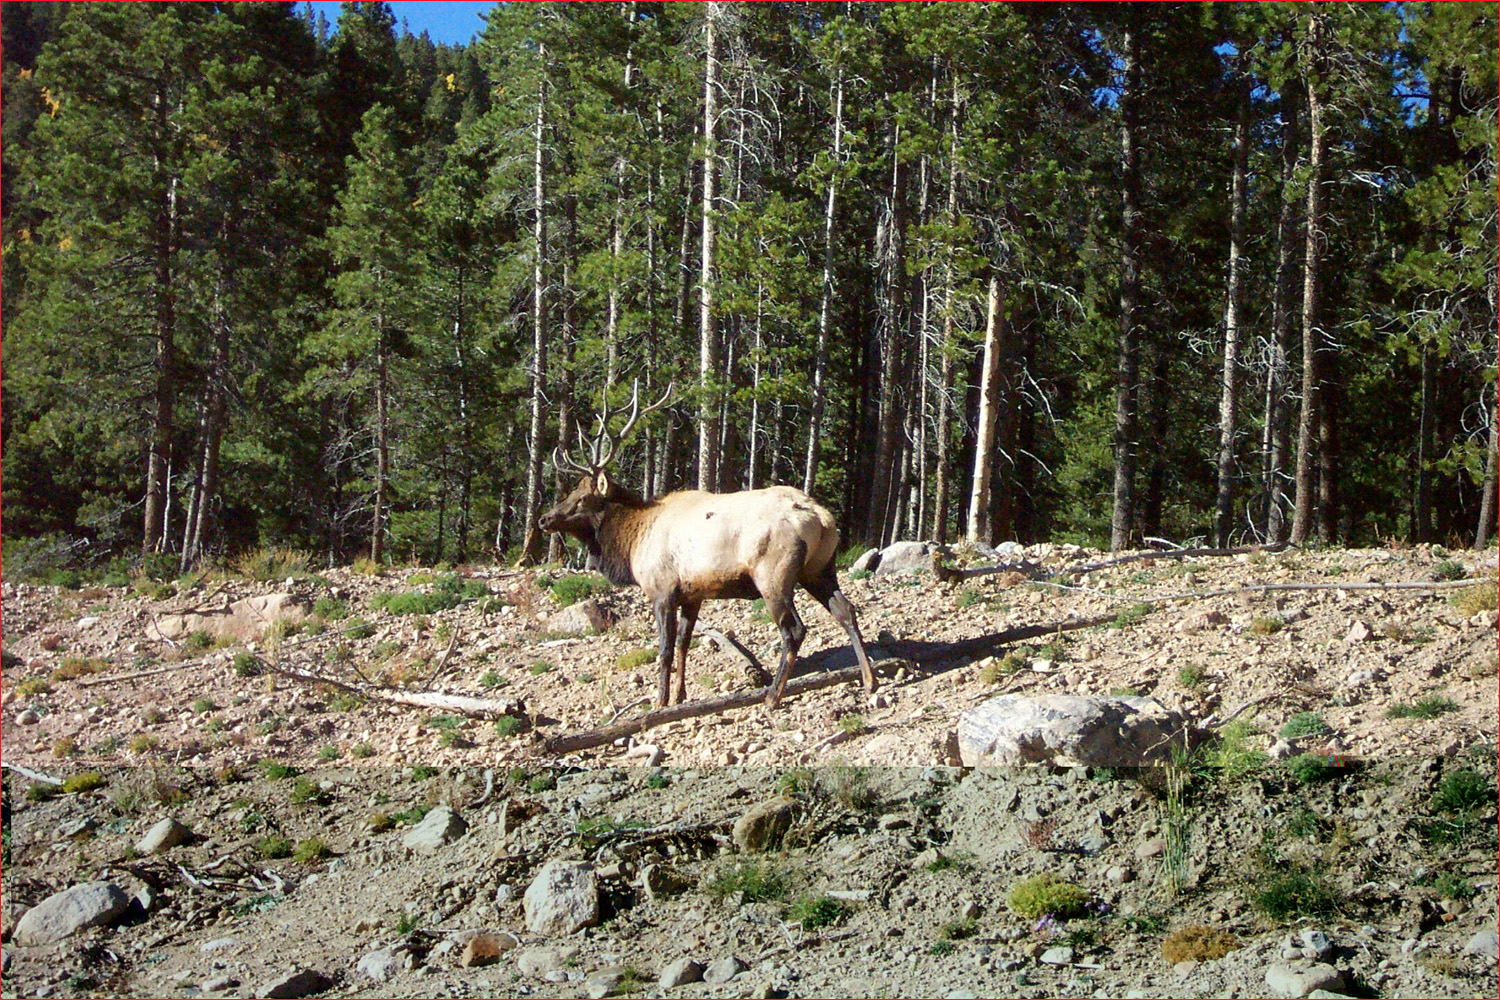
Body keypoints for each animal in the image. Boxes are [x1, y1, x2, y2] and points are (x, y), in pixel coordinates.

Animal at [540, 379, 876, 707]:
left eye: (581, 498)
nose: (544, 519)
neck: (632, 542)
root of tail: (821, 517)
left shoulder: (662, 590)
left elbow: (664, 650)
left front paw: (659, 702)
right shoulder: (693, 594)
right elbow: (684, 645)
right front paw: (680, 696)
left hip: (774, 574)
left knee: (794, 629)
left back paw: (772, 697)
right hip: (819, 569)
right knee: (846, 610)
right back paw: (869, 680)